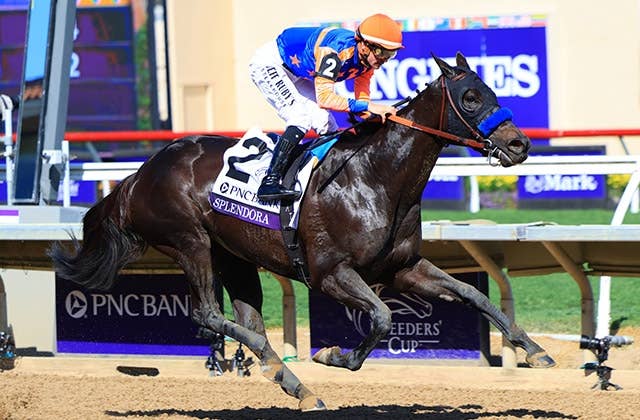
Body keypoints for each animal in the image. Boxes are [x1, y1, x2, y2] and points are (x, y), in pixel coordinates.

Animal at [50, 52, 555, 411]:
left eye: (491, 89)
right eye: (470, 97)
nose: (518, 144)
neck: (375, 179)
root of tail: (138, 175)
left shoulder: (403, 268)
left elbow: (475, 295)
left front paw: (533, 351)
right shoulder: (331, 273)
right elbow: (382, 317)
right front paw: (332, 355)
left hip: (235, 255)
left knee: (248, 319)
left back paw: (293, 384)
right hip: (190, 242)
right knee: (208, 314)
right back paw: (277, 366)